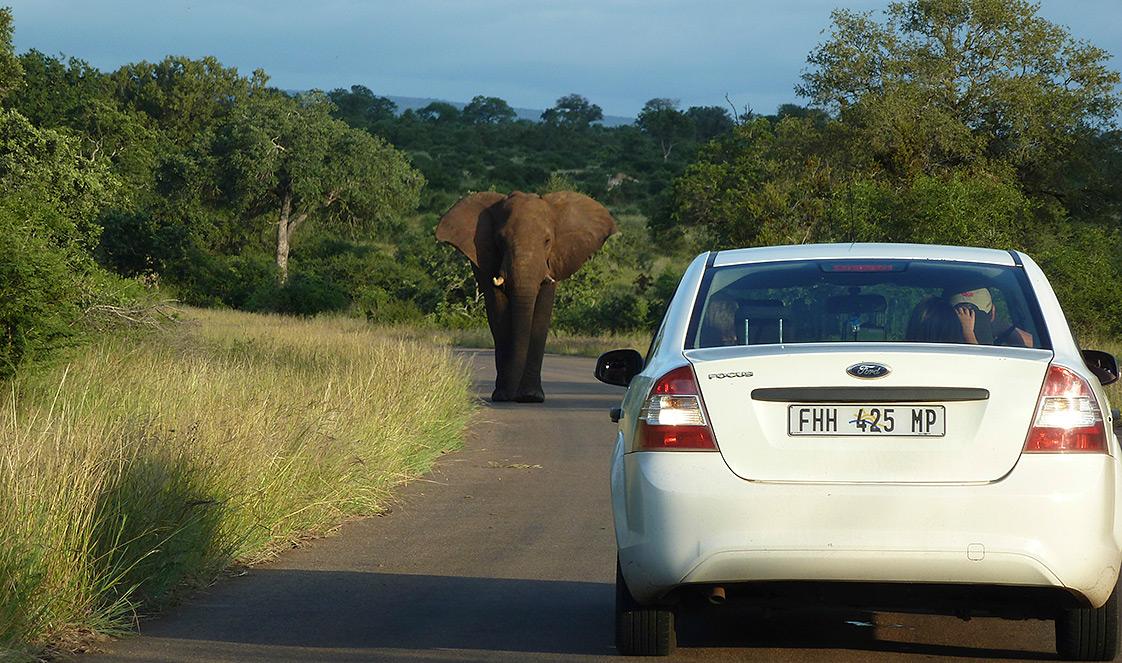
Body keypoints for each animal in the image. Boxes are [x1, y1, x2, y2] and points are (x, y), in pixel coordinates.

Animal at [437, 191, 618, 403]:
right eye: (500, 240)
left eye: (547, 241)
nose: (512, 395)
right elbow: (499, 312)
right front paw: (503, 395)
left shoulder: (553, 262)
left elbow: (541, 313)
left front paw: (530, 397)